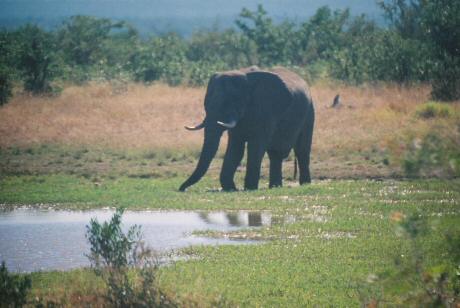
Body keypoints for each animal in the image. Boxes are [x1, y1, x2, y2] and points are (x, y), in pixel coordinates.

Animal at [180, 66, 316, 191]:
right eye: (206, 104)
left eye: (228, 103)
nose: (182, 188)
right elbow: (236, 148)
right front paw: (231, 189)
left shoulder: (266, 109)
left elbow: (256, 146)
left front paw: (249, 188)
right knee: (275, 154)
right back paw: (275, 187)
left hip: (309, 112)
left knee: (302, 150)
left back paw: (305, 184)